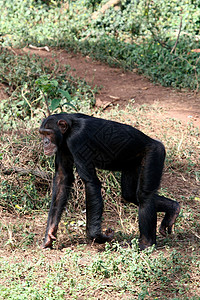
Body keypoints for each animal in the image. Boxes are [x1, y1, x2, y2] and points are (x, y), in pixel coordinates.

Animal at [39, 113, 180, 250]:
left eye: (49, 133)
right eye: (42, 133)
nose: (45, 142)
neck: (68, 131)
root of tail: (157, 143)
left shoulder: (77, 140)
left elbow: (91, 183)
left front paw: (97, 236)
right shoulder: (62, 147)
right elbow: (62, 178)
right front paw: (50, 234)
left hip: (154, 154)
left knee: (144, 196)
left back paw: (146, 243)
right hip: (133, 163)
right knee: (130, 194)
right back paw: (173, 209)